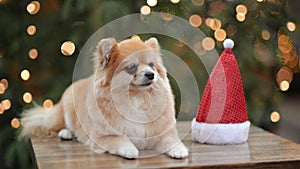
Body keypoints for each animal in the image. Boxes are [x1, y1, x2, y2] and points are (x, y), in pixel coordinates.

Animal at [21, 37, 189, 158]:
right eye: (131, 68)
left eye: (152, 65)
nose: (151, 74)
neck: (136, 99)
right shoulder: (102, 137)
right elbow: (119, 139)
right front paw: (129, 149)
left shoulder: (163, 133)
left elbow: (171, 140)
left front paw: (179, 149)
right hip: (65, 112)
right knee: (56, 126)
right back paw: (66, 133)